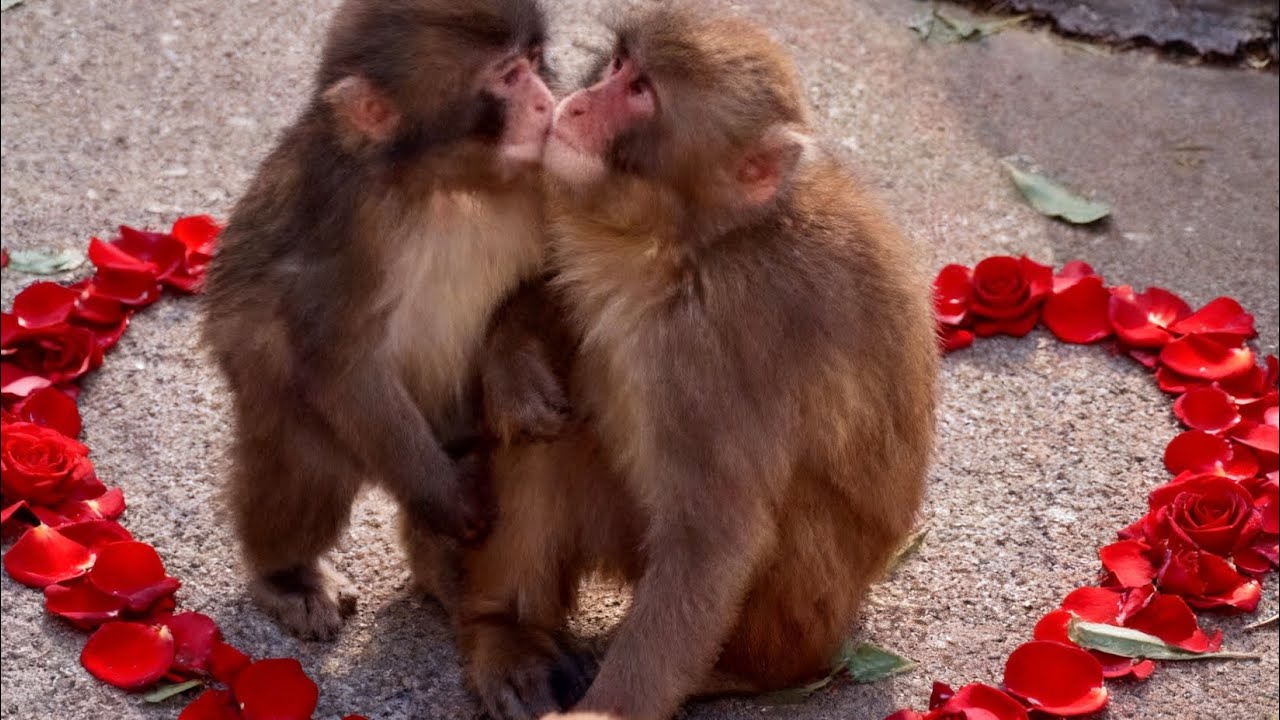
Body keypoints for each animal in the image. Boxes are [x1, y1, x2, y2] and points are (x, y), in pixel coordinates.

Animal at [201, 0, 566, 641]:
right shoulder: (345, 218)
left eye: (534, 59)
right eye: (506, 76)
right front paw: (442, 496)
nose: (548, 101)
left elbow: (552, 276)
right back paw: (287, 575)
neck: (449, 184)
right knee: (305, 458)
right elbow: (339, 358)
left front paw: (514, 375)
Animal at [452, 6, 939, 719]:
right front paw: (513, 362)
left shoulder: (725, 341)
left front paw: (607, 711)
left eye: (640, 92)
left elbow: (714, 538)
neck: (696, 242)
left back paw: (746, 674)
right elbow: (555, 302)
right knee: (543, 439)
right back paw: (506, 631)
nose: (576, 103)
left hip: (806, 614)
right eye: (619, 65)